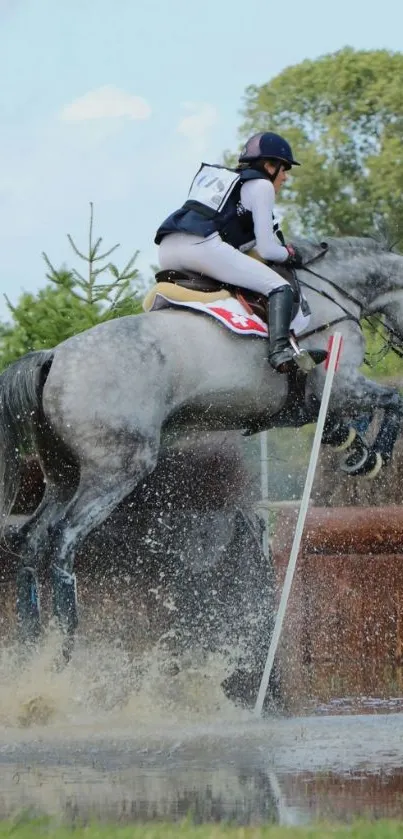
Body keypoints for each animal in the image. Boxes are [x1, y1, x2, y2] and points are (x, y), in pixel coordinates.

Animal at [0, 233, 403, 660]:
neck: (333, 289)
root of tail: (54, 358)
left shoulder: (311, 404)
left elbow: (344, 425)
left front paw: (360, 452)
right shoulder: (340, 385)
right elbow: (394, 400)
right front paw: (375, 456)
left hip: (62, 475)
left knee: (32, 538)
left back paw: (32, 642)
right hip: (117, 470)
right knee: (64, 539)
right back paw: (65, 650)